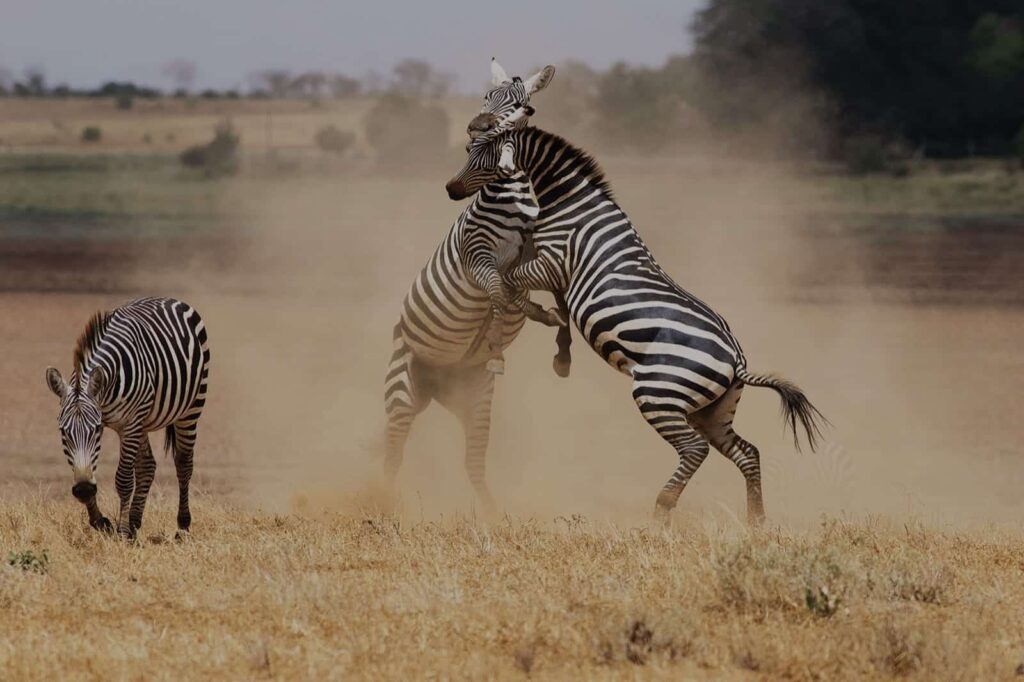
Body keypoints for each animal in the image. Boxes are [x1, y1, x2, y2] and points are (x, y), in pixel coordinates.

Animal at [45, 297, 210, 538]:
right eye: (63, 431)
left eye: (96, 429)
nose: (83, 490)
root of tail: (169, 299)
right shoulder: (125, 423)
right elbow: (85, 467)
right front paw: (101, 521)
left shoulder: (129, 424)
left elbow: (123, 479)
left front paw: (122, 532)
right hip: (143, 421)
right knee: (147, 466)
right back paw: (134, 522)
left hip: (191, 408)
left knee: (184, 463)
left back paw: (182, 526)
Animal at [445, 127, 827, 524]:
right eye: (468, 149)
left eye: (482, 157)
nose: (451, 189)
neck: (569, 204)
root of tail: (737, 361)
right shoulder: (554, 269)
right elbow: (541, 296)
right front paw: (558, 341)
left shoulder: (552, 262)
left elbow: (510, 281)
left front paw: (532, 319)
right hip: (714, 410)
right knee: (746, 452)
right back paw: (756, 521)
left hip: (658, 395)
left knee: (695, 449)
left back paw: (663, 507)